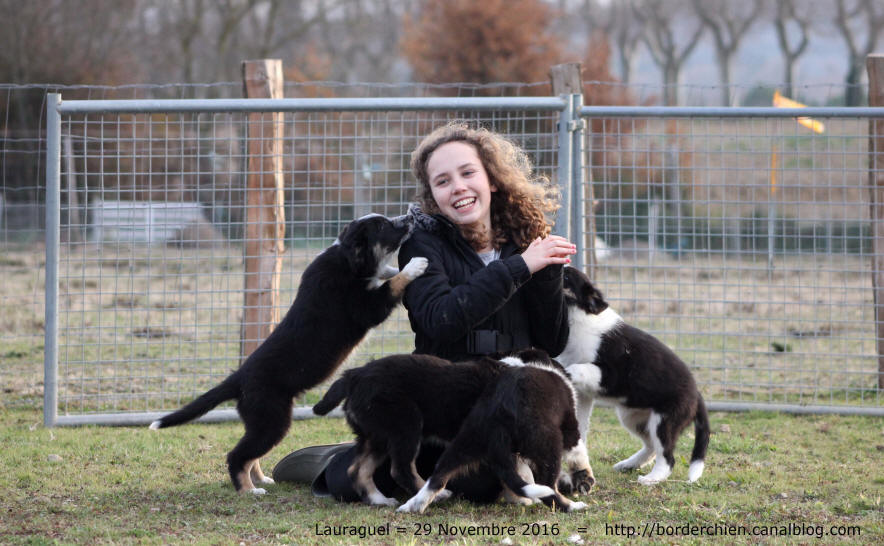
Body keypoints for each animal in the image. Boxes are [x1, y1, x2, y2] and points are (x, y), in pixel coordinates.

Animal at [146, 214, 428, 492]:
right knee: (237, 455)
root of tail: (239, 377)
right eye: (382, 226)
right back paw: (248, 490)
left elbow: (387, 274)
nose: (409, 217)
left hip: (261, 422)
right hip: (272, 420)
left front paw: (399, 267)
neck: (346, 260)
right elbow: (392, 284)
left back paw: (260, 480)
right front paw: (415, 265)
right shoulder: (367, 307)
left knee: (250, 455)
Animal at [312, 348, 592, 510]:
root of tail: (354, 375)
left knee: (358, 469)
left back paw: (381, 500)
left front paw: (520, 498)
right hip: (406, 426)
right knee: (401, 469)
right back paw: (439, 495)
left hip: (377, 435)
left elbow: (517, 474)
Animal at [560, 266, 712, 482]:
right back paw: (628, 464)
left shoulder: (610, 374)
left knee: (667, 457)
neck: (580, 317)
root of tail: (697, 396)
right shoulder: (584, 394)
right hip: (633, 418)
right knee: (651, 447)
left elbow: (579, 367)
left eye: (565, 277)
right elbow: (579, 420)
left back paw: (651, 479)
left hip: (664, 420)